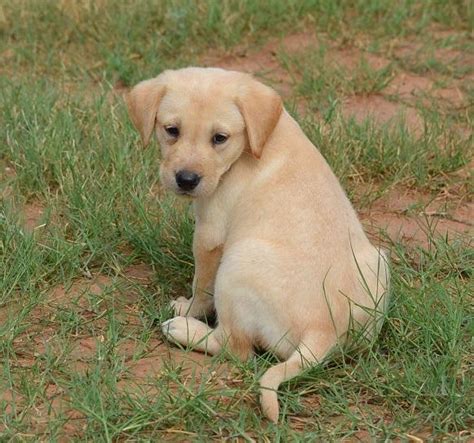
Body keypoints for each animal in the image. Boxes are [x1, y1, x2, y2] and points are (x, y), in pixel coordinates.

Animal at [125, 67, 388, 424]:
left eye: (219, 138)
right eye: (172, 131)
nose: (186, 179)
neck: (255, 143)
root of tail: (322, 332)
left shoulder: (209, 234)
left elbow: (201, 287)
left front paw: (187, 308)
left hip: (237, 265)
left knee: (236, 349)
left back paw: (183, 329)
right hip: (379, 266)